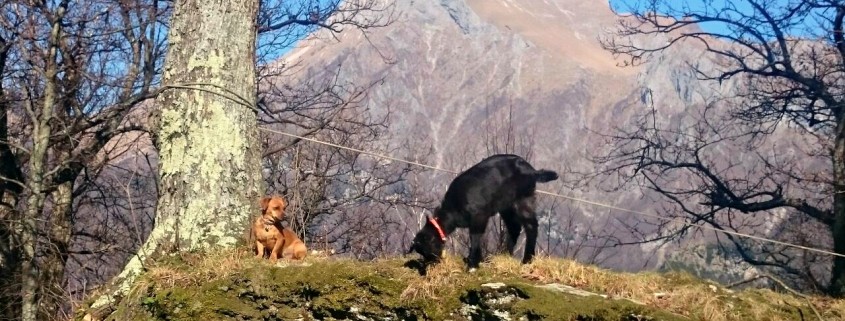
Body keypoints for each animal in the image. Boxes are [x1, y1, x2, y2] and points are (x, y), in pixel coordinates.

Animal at [406, 154, 556, 274]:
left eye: (427, 251)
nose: (429, 268)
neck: (452, 210)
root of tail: (531, 170)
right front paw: (476, 260)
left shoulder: (479, 216)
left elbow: (475, 237)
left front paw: (473, 264)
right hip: (506, 207)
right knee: (514, 228)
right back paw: (503, 255)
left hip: (521, 200)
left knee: (530, 225)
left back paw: (526, 260)